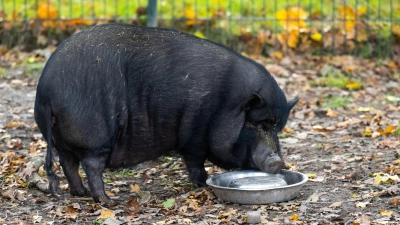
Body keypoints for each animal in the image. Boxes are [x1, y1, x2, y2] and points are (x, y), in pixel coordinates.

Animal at [34, 24, 296, 204]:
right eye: (255, 124)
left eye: (277, 126)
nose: (278, 161)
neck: (225, 104)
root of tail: (46, 90)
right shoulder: (194, 138)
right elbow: (195, 162)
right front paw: (203, 183)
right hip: (95, 138)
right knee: (90, 165)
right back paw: (107, 201)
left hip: (61, 139)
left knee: (67, 162)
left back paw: (81, 193)